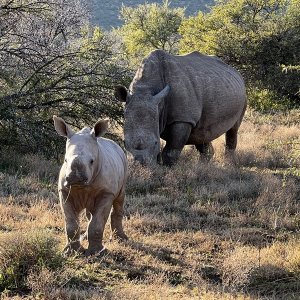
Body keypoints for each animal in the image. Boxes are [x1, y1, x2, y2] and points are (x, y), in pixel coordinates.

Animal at [53, 115, 127, 255]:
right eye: (65, 160)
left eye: (92, 161)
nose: (75, 178)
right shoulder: (64, 191)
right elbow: (71, 224)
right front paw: (71, 252)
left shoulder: (106, 193)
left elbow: (97, 224)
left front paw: (96, 253)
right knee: (90, 214)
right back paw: (86, 237)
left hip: (124, 165)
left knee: (119, 199)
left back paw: (121, 239)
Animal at [115, 50, 246, 165]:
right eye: (124, 143)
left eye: (156, 143)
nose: (140, 165)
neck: (145, 89)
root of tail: (236, 72)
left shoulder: (183, 119)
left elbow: (170, 152)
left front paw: (168, 171)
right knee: (202, 134)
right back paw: (202, 167)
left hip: (242, 94)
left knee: (233, 130)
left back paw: (228, 164)